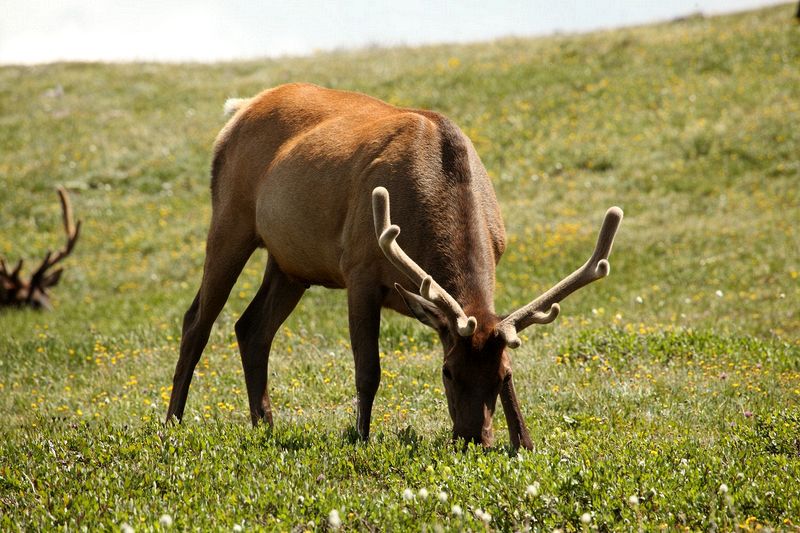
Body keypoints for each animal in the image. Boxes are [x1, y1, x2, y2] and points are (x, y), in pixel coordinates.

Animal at [165, 83, 622, 448]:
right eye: (447, 372)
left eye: (502, 377)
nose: (475, 440)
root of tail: (242, 107)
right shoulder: (359, 269)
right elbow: (368, 369)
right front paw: (360, 437)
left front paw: (524, 442)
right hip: (230, 217)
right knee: (197, 321)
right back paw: (172, 422)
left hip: (290, 261)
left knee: (252, 328)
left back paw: (266, 426)